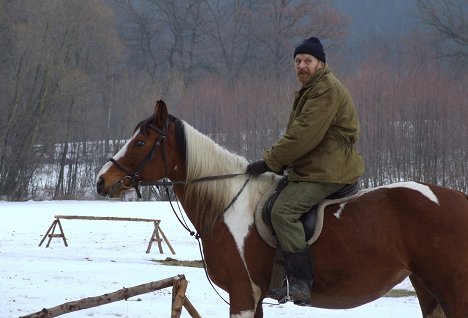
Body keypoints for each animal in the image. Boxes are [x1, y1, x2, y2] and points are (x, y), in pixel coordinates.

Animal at [96, 101, 468, 318]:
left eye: (140, 142)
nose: (102, 180)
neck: (228, 204)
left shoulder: (243, 296)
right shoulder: (254, 298)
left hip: (453, 292)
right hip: (429, 293)